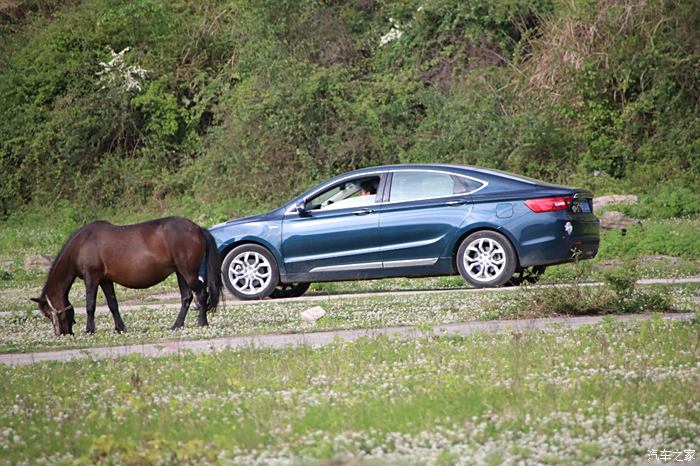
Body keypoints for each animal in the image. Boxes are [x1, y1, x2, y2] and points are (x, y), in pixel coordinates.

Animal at [30, 217, 220, 336]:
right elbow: (113, 304)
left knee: (201, 293)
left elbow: (90, 305)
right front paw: (119, 328)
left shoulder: (92, 278)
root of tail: (197, 229)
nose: (62, 333)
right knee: (186, 297)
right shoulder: (105, 280)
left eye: (48, 314)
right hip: (181, 272)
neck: (82, 244)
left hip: (188, 272)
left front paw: (90, 330)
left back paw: (202, 322)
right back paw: (177, 325)